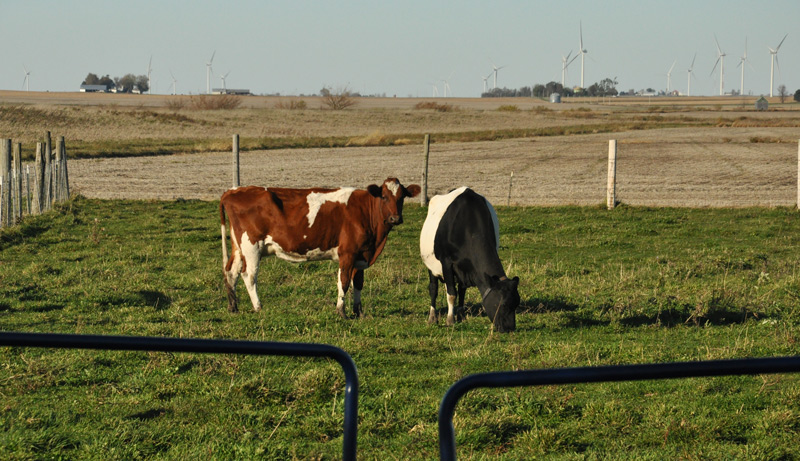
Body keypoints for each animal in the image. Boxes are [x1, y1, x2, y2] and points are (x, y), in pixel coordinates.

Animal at [220, 178, 420, 317]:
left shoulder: (362, 254)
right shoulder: (347, 253)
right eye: (384, 197)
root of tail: (234, 190)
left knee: (231, 271)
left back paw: (233, 307)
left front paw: (359, 312)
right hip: (251, 246)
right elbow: (344, 281)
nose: (395, 218)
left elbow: (358, 283)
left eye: (402, 198)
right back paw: (258, 306)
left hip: (239, 247)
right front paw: (341, 312)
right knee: (249, 275)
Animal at [419, 186, 519, 332]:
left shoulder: (465, 268)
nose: (510, 328)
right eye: (503, 305)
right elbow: (451, 294)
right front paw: (450, 320)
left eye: (517, 304)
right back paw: (432, 317)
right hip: (432, 265)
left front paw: (460, 316)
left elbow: (461, 292)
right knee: (433, 288)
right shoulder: (446, 262)